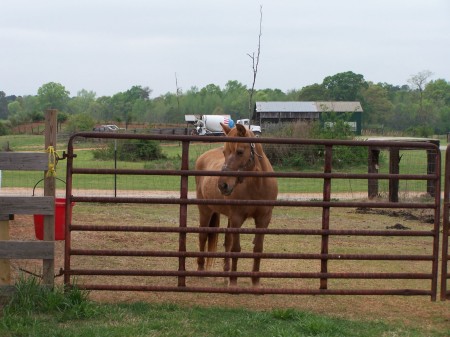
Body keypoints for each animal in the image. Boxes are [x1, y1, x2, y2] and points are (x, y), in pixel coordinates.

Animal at [196, 122, 278, 284]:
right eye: (225, 152)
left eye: (240, 151)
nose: (222, 185)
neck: (257, 185)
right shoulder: (237, 218)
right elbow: (236, 248)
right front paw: (233, 281)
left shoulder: (264, 219)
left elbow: (257, 248)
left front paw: (255, 282)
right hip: (205, 210)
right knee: (203, 236)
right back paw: (201, 269)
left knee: (226, 240)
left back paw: (225, 272)